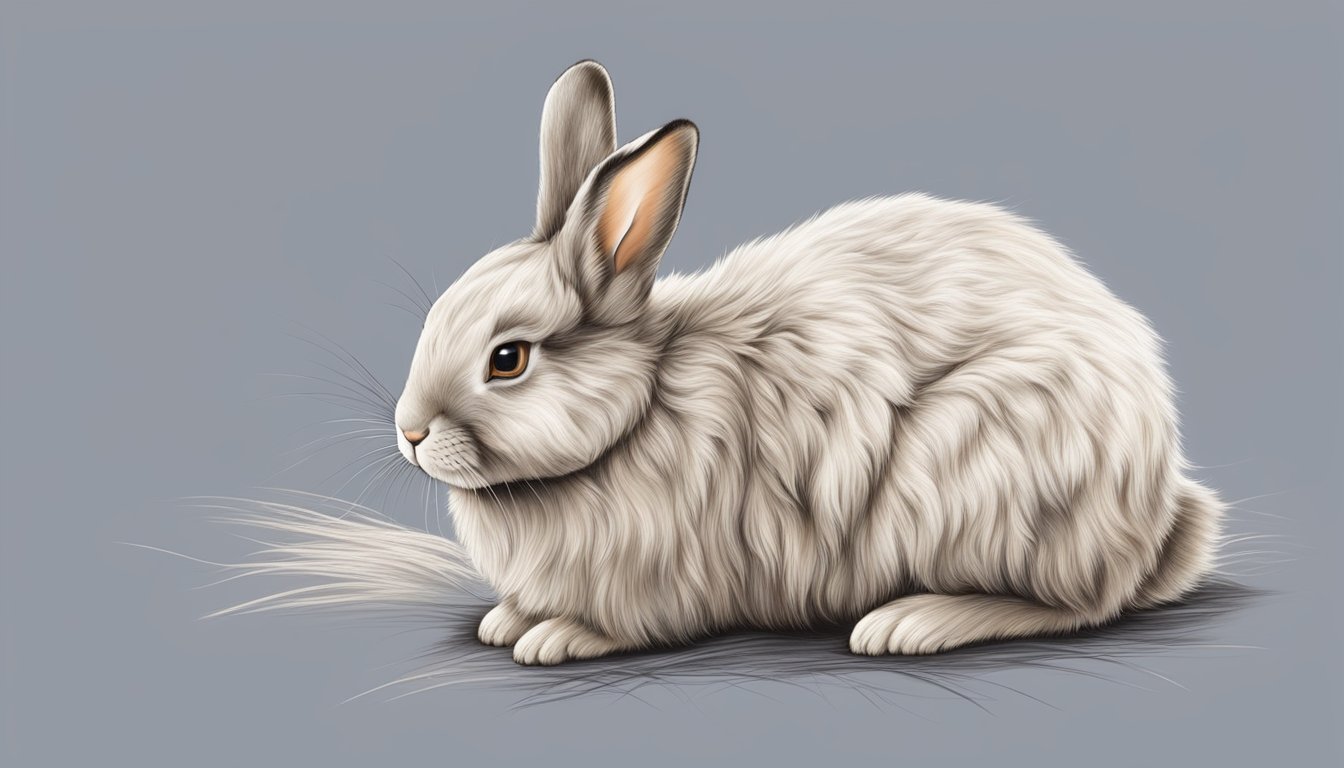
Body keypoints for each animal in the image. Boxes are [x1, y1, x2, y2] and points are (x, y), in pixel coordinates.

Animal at [392, 60, 1223, 665]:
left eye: (507, 359)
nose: (410, 433)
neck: (638, 411)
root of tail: (1155, 512)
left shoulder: (664, 578)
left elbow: (631, 626)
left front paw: (554, 637)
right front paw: (506, 620)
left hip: (985, 474)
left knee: (1074, 606)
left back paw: (911, 623)